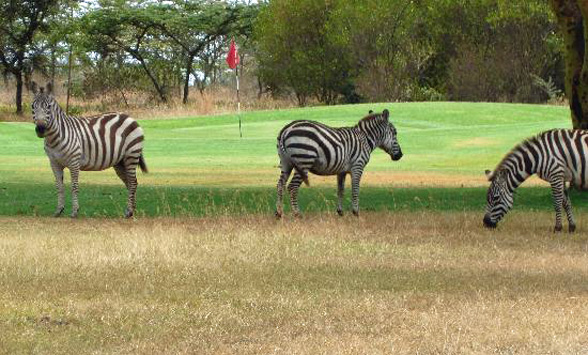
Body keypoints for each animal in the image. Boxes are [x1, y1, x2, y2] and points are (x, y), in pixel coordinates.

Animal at [31, 82, 148, 218]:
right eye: (33, 106)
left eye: (48, 107)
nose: (40, 129)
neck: (54, 138)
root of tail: (129, 117)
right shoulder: (54, 163)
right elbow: (59, 186)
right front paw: (58, 210)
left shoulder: (74, 162)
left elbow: (74, 186)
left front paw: (74, 211)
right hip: (120, 162)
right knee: (130, 183)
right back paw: (131, 210)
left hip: (131, 155)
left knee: (133, 183)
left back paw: (129, 211)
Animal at [274, 110, 402, 218]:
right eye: (395, 133)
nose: (400, 155)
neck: (365, 139)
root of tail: (286, 130)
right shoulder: (358, 166)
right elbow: (355, 190)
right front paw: (356, 212)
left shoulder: (342, 171)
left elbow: (340, 190)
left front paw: (340, 212)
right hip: (304, 161)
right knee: (292, 187)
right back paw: (297, 214)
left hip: (286, 163)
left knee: (280, 185)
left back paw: (279, 213)